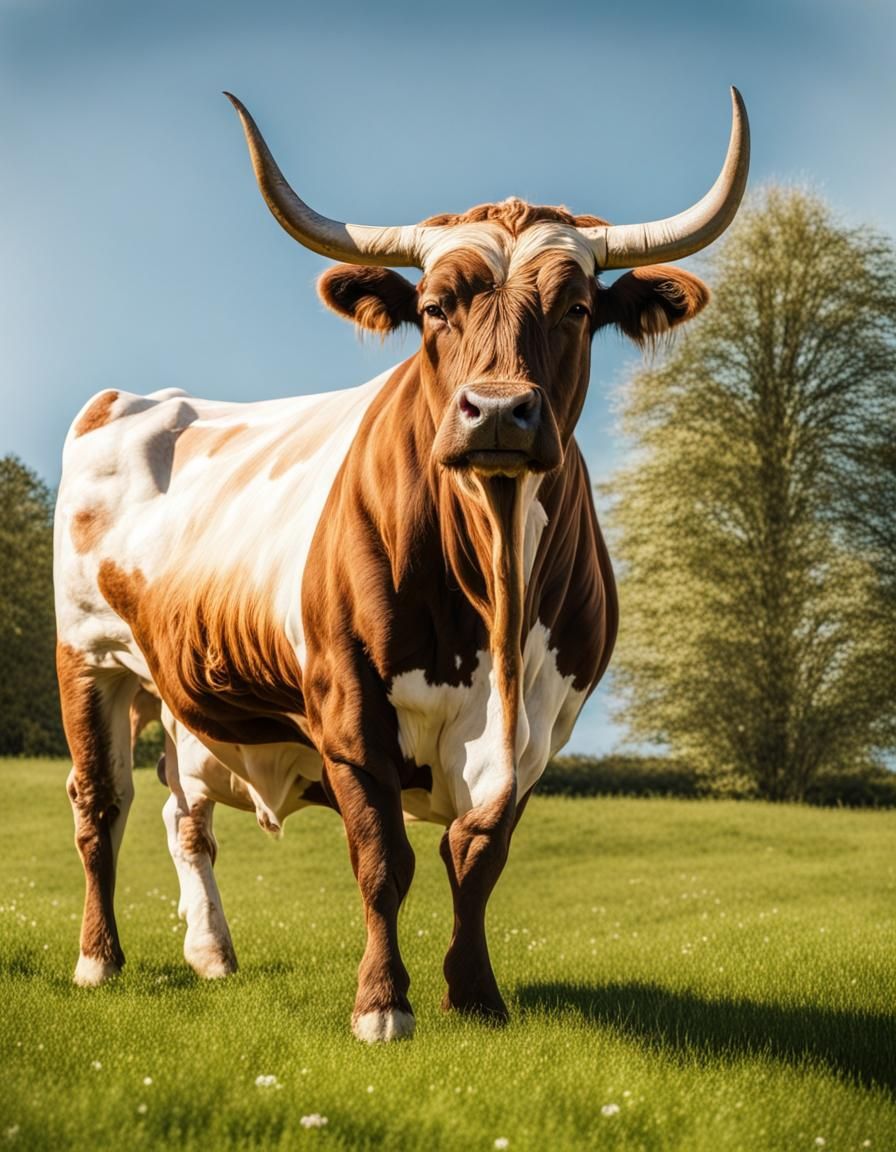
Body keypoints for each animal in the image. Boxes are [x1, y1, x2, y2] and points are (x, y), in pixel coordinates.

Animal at [54, 88, 749, 1041]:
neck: (495, 587)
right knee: (101, 807)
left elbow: (477, 857)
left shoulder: (541, 727)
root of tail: (138, 397)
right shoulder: (348, 709)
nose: (498, 412)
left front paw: (475, 995)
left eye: (575, 308)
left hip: (181, 691)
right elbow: (384, 860)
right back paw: (99, 961)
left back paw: (212, 952)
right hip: (90, 658)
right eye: (436, 309)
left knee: (181, 809)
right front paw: (383, 1004)